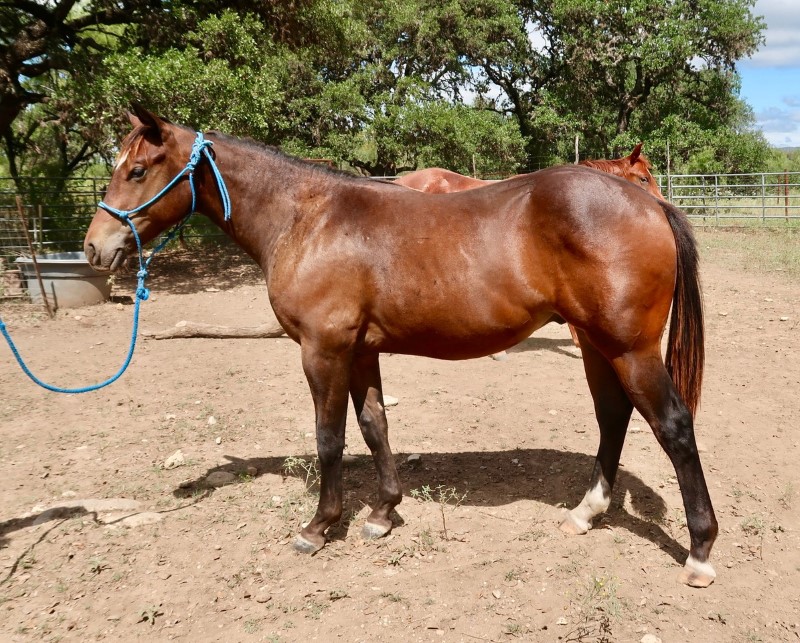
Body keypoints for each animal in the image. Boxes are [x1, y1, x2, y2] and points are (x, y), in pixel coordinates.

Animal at [83, 108, 720, 592]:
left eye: (136, 170)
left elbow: (330, 440)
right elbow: (374, 426)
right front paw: (383, 512)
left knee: (673, 426)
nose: (95, 248)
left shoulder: (323, 350)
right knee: (613, 416)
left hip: (629, 348)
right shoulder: (361, 351)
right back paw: (586, 514)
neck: (308, 219)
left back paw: (699, 552)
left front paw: (319, 527)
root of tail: (649, 205)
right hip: (595, 344)